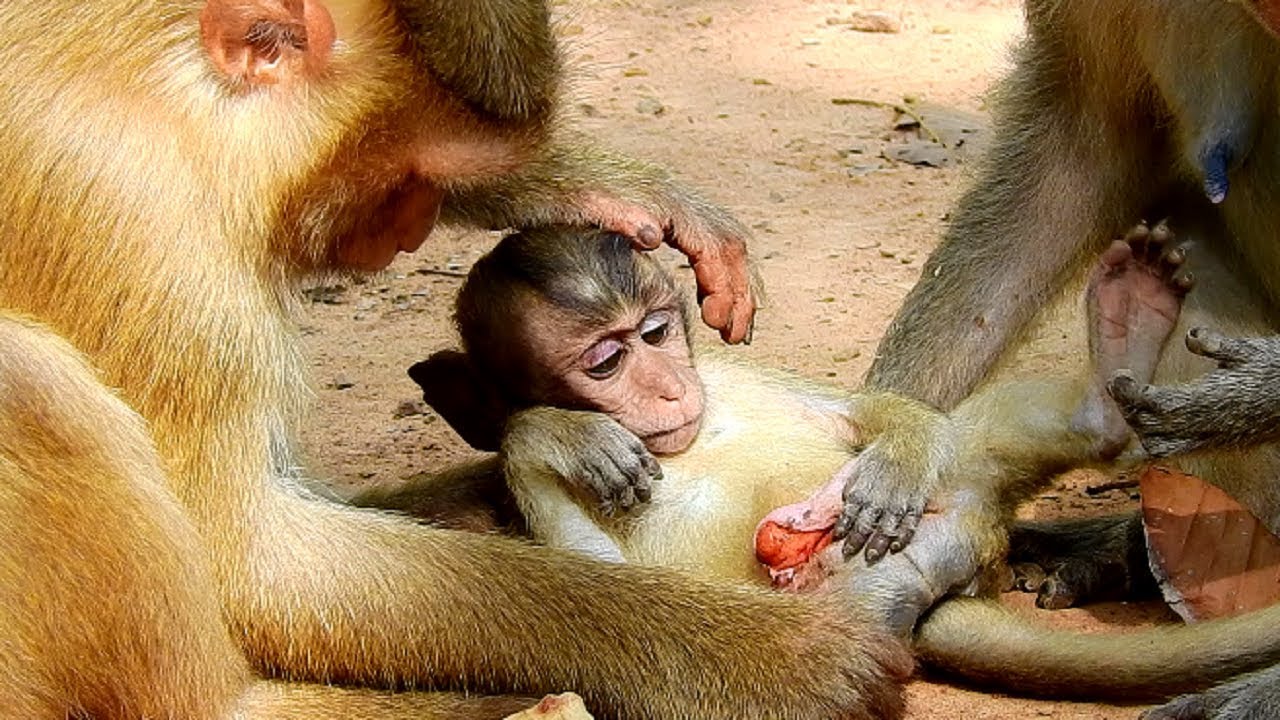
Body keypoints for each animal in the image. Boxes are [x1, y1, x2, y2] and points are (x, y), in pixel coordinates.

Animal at [0, 0, 922, 718]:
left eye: (425, 186)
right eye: (398, 180)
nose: (409, 230)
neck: (169, 97)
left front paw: (588, 184)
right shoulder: (142, 231)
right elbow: (254, 562)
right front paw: (775, 658)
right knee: (28, 377)